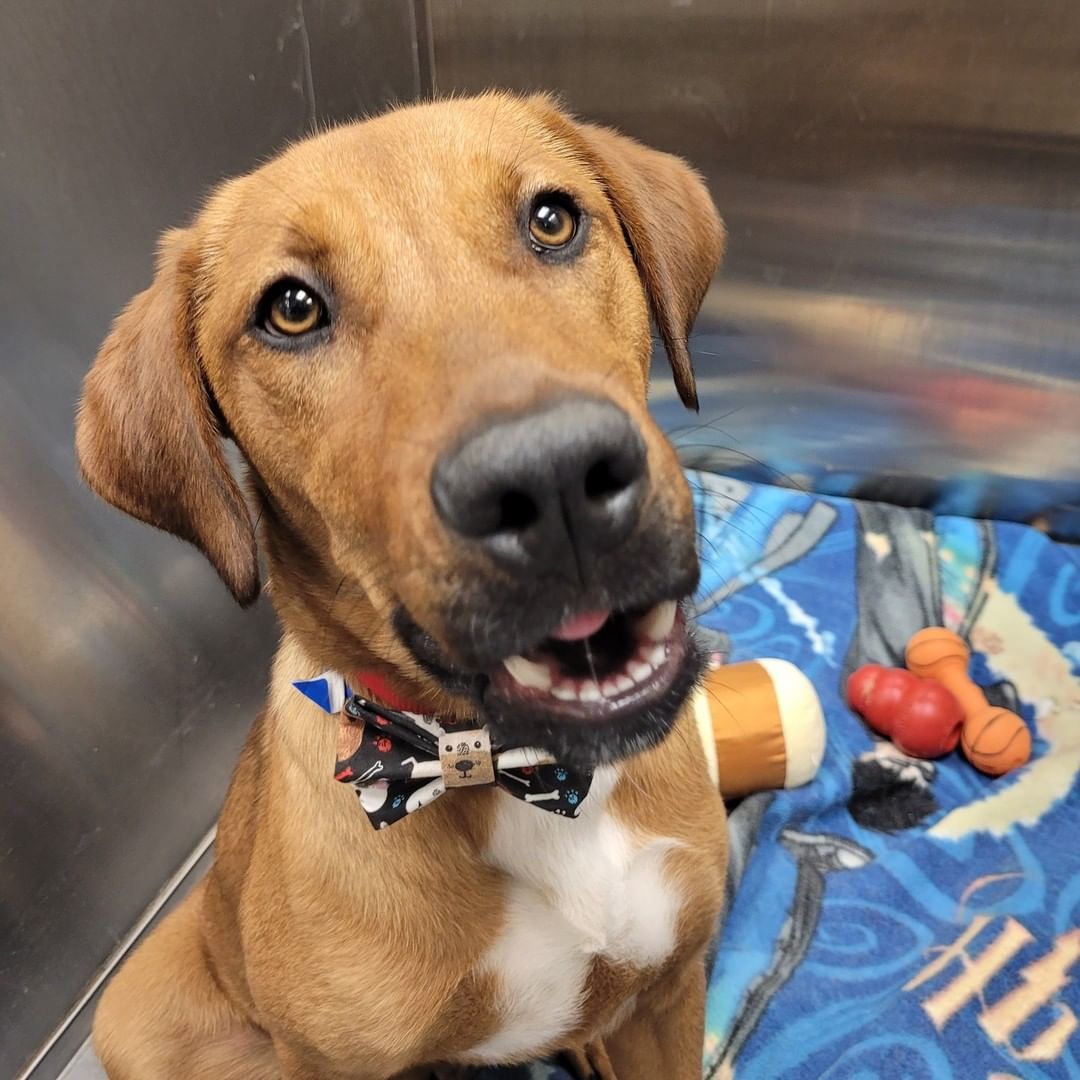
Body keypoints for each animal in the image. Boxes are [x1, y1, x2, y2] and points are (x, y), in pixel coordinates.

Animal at [78, 92, 725, 1080]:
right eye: (291, 309)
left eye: (552, 218)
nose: (552, 480)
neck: (505, 771)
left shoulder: (668, 996)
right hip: (134, 1012)